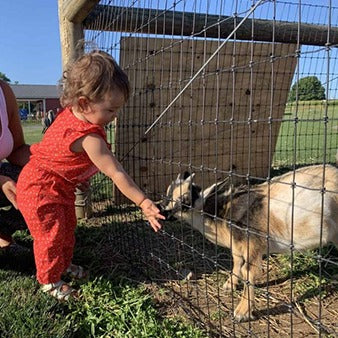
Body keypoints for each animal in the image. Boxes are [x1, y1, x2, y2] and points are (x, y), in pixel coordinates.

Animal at [162, 165, 336, 320]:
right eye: (168, 194)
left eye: (185, 200)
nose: (164, 212)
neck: (221, 213)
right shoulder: (237, 244)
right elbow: (237, 262)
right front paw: (229, 285)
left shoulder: (252, 243)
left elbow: (247, 271)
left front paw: (241, 312)